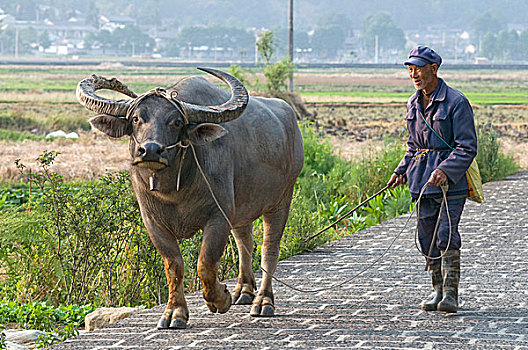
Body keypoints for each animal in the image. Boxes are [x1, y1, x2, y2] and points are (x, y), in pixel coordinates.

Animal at [76, 68, 304, 328]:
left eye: (176, 121)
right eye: (136, 119)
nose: (151, 150)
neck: (174, 189)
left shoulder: (218, 217)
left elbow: (205, 263)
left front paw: (219, 299)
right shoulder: (153, 222)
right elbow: (173, 266)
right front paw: (174, 313)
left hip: (281, 199)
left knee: (269, 250)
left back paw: (263, 301)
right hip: (242, 210)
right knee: (245, 242)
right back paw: (243, 291)